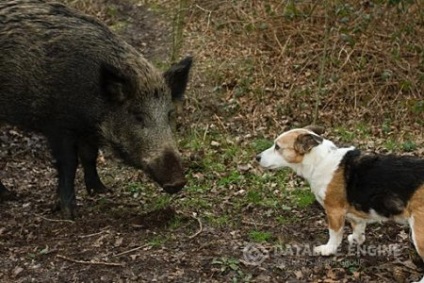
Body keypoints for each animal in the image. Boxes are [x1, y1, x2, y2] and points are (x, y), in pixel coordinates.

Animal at [255, 126, 424, 283]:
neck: (319, 161)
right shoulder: (354, 214)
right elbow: (358, 227)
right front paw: (357, 239)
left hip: (418, 233)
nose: (257, 157)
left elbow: (334, 234)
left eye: (277, 147)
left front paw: (328, 250)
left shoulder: (334, 211)